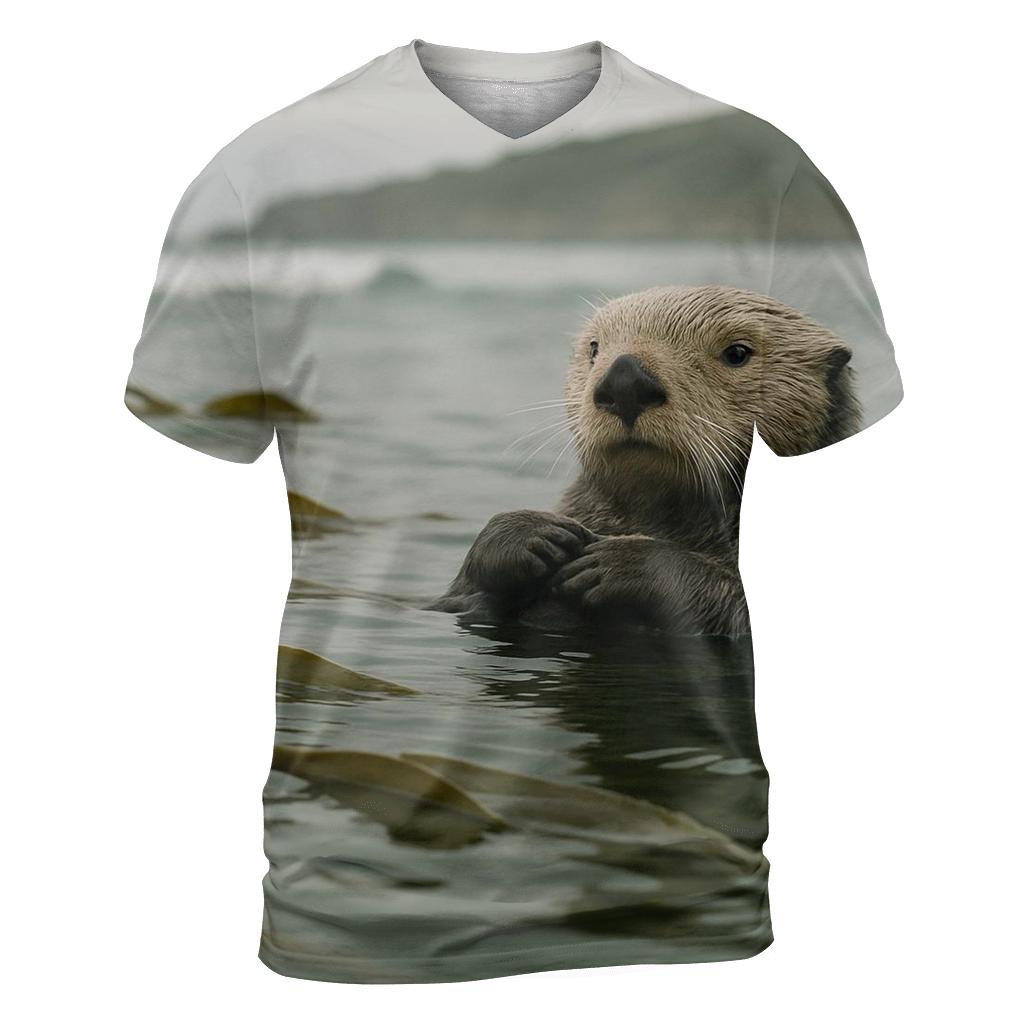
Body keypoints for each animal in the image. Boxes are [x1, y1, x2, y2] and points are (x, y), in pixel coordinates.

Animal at [431, 285, 860, 636]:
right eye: (594, 348)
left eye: (737, 353)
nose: (625, 379)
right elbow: (455, 603)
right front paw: (528, 534)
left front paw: (626, 563)